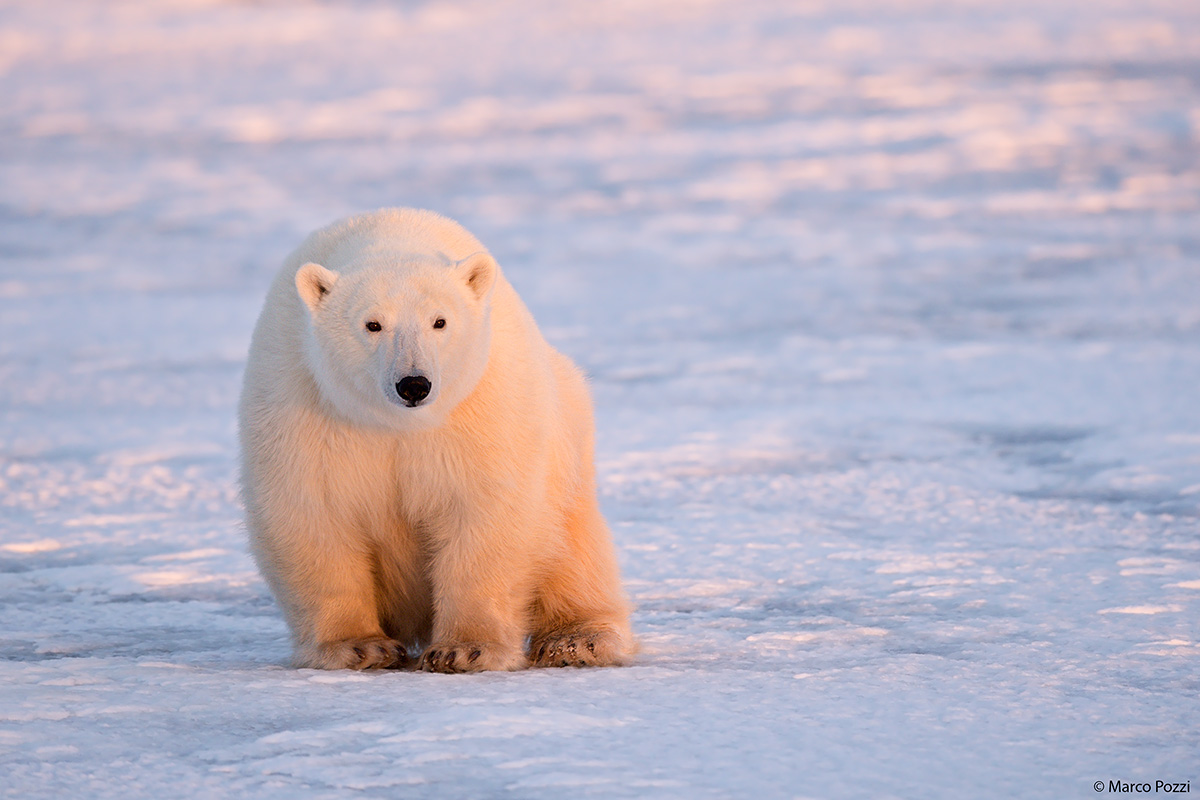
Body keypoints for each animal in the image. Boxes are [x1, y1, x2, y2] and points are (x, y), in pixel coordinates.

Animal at [238, 208, 635, 672]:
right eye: (373, 324)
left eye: (439, 321)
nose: (414, 384)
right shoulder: (304, 404)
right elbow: (314, 514)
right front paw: (360, 647)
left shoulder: (483, 408)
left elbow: (484, 511)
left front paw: (464, 649)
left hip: (566, 443)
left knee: (574, 547)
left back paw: (576, 639)